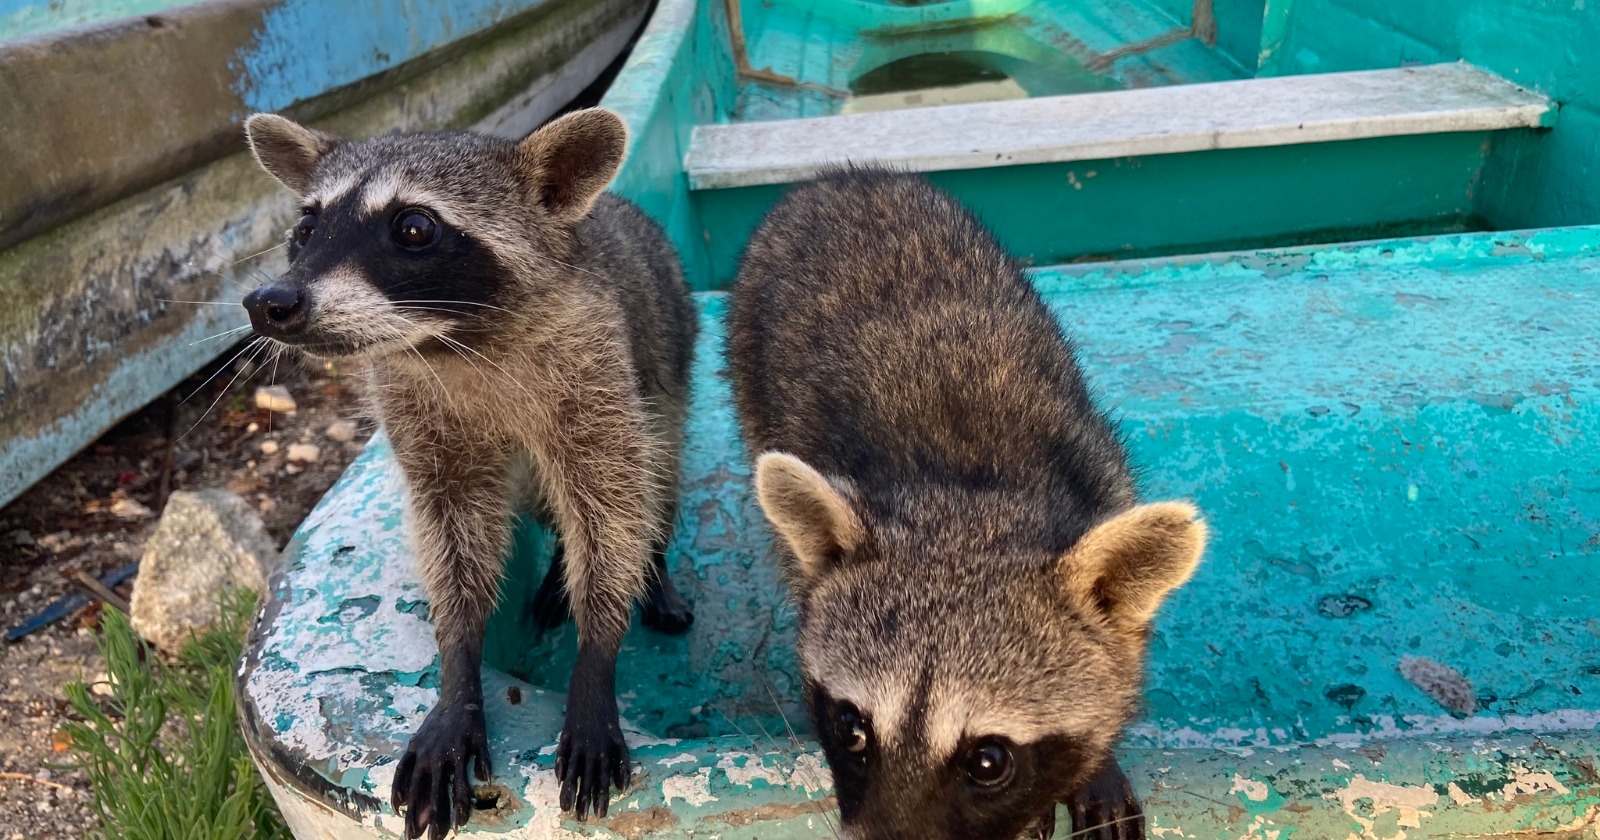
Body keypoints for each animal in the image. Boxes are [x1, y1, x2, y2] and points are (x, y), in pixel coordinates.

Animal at [241, 108, 697, 837]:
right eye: (306, 228)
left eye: (414, 228)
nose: (269, 302)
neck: (449, 340)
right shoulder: (415, 409)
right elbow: (452, 531)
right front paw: (458, 663)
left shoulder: (593, 370)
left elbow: (612, 506)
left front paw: (597, 653)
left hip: (665, 367)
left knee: (655, 475)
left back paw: (652, 568)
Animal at [726, 168, 1207, 840]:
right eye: (852, 729)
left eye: (989, 760)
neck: (972, 493)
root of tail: (840, 177)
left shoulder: (1103, 475)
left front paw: (1098, 763)